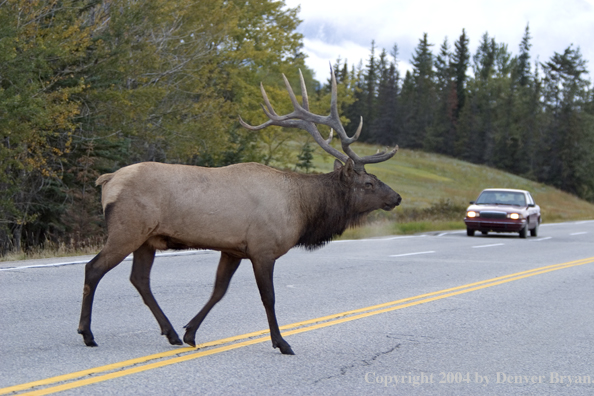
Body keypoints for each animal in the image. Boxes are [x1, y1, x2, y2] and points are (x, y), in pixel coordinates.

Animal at [76, 68, 400, 356]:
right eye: (369, 183)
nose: (396, 197)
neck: (302, 210)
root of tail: (107, 180)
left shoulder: (232, 249)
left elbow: (218, 291)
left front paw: (190, 332)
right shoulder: (263, 248)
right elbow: (268, 297)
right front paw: (282, 343)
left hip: (147, 239)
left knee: (140, 279)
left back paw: (170, 333)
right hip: (127, 229)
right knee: (94, 268)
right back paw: (87, 333)